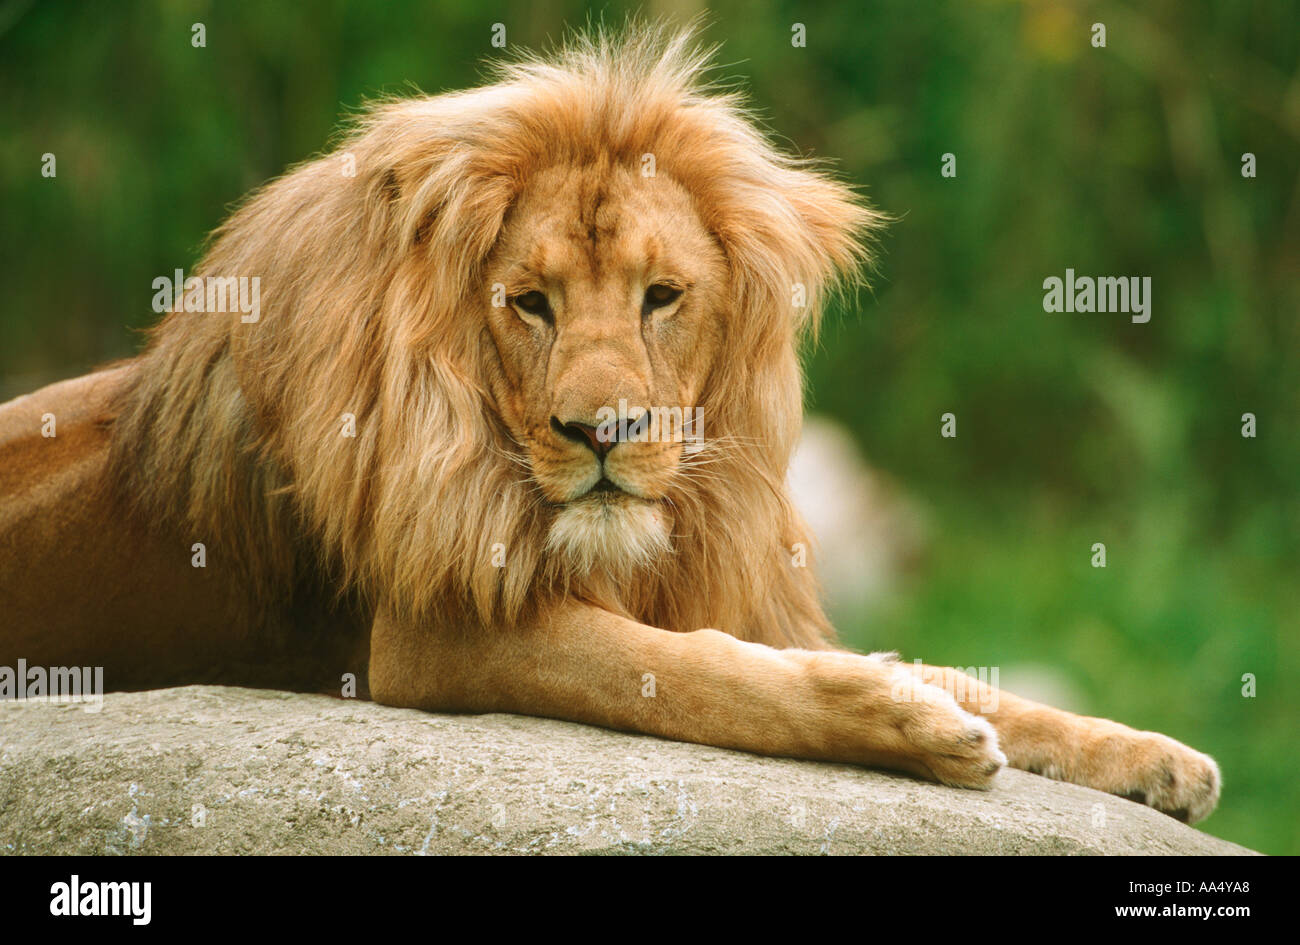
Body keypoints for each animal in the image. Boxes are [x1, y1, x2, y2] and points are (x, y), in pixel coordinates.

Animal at [0, 27, 1220, 824]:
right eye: (529, 302)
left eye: (661, 296)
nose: (601, 432)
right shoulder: (433, 631)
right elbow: (697, 675)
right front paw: (910, 724)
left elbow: (975, 678)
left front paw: (1155, 757)